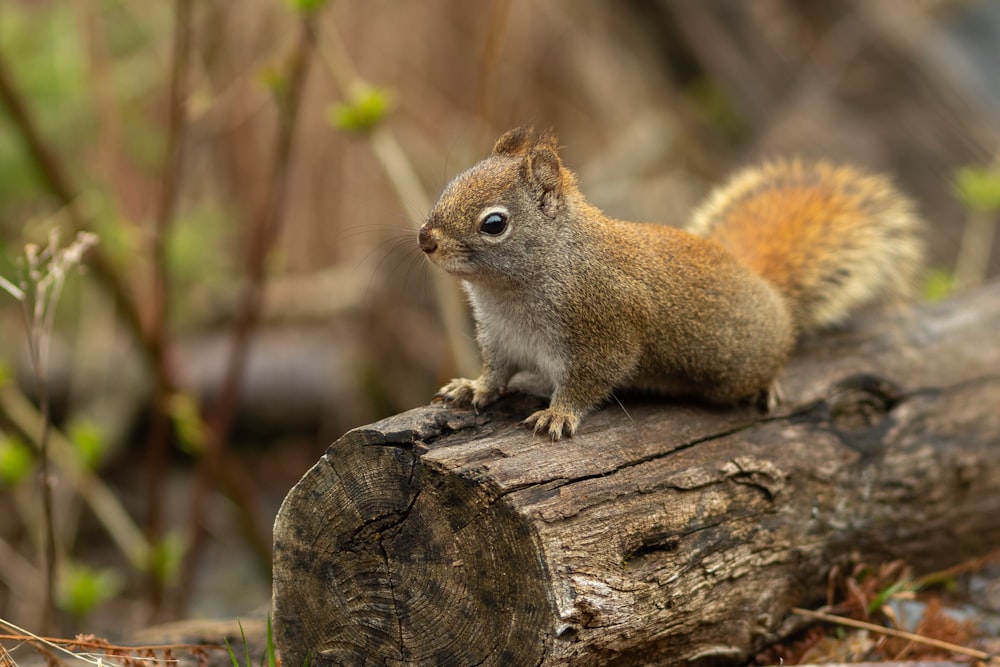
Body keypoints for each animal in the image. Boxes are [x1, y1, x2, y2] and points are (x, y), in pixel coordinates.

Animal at [414, 126, 920, 440]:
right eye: (453, 183)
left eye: (494, 224)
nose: (425, 239)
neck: (508, 292)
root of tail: (765, 286)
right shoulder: (500, 337)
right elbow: (497, 372)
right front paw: (473, 388)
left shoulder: (603, 335)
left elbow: (588, 382)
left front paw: (558, 415)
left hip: (736, 368)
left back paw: (767, 386)